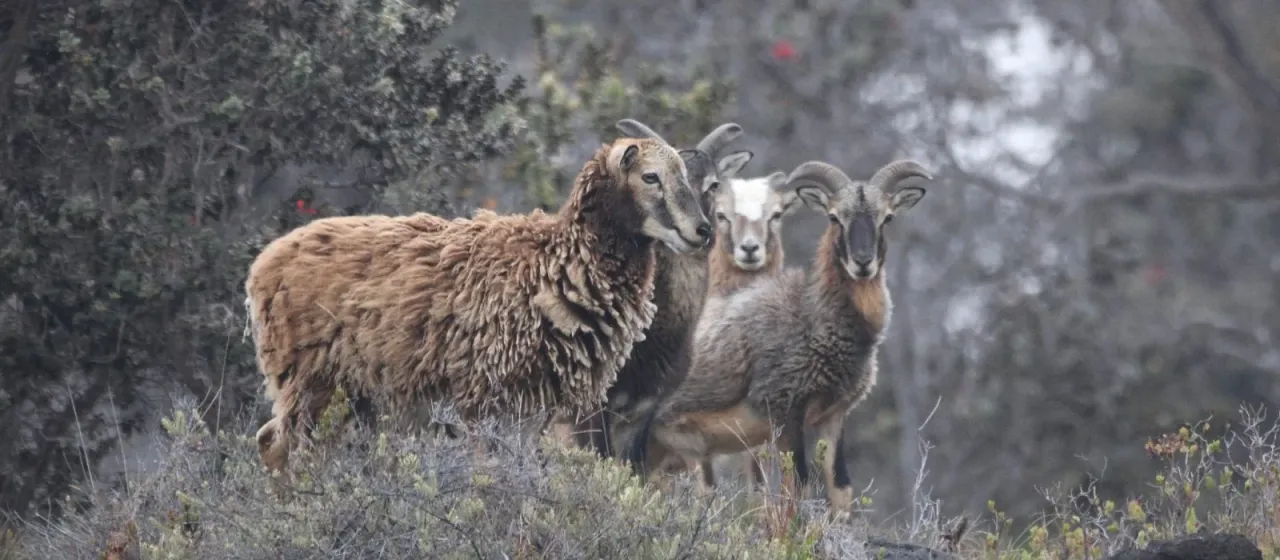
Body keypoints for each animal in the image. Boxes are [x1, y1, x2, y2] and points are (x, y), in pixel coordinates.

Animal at [244, 135, 715, 474]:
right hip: (308, 381)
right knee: (278, 448)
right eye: (650, 177)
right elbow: (489, 473)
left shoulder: (533, 409)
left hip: (350, 394)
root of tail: (264, 263)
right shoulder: (482, 401)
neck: (558, 262)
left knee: (276, 442)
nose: (703, 231)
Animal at [627, 158, 934, 511]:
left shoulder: (833, 417)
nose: (862, 263)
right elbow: (796, 488)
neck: (810, 314)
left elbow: (840, 489)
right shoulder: (785, 412)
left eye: (887, 217)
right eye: (833, 216)